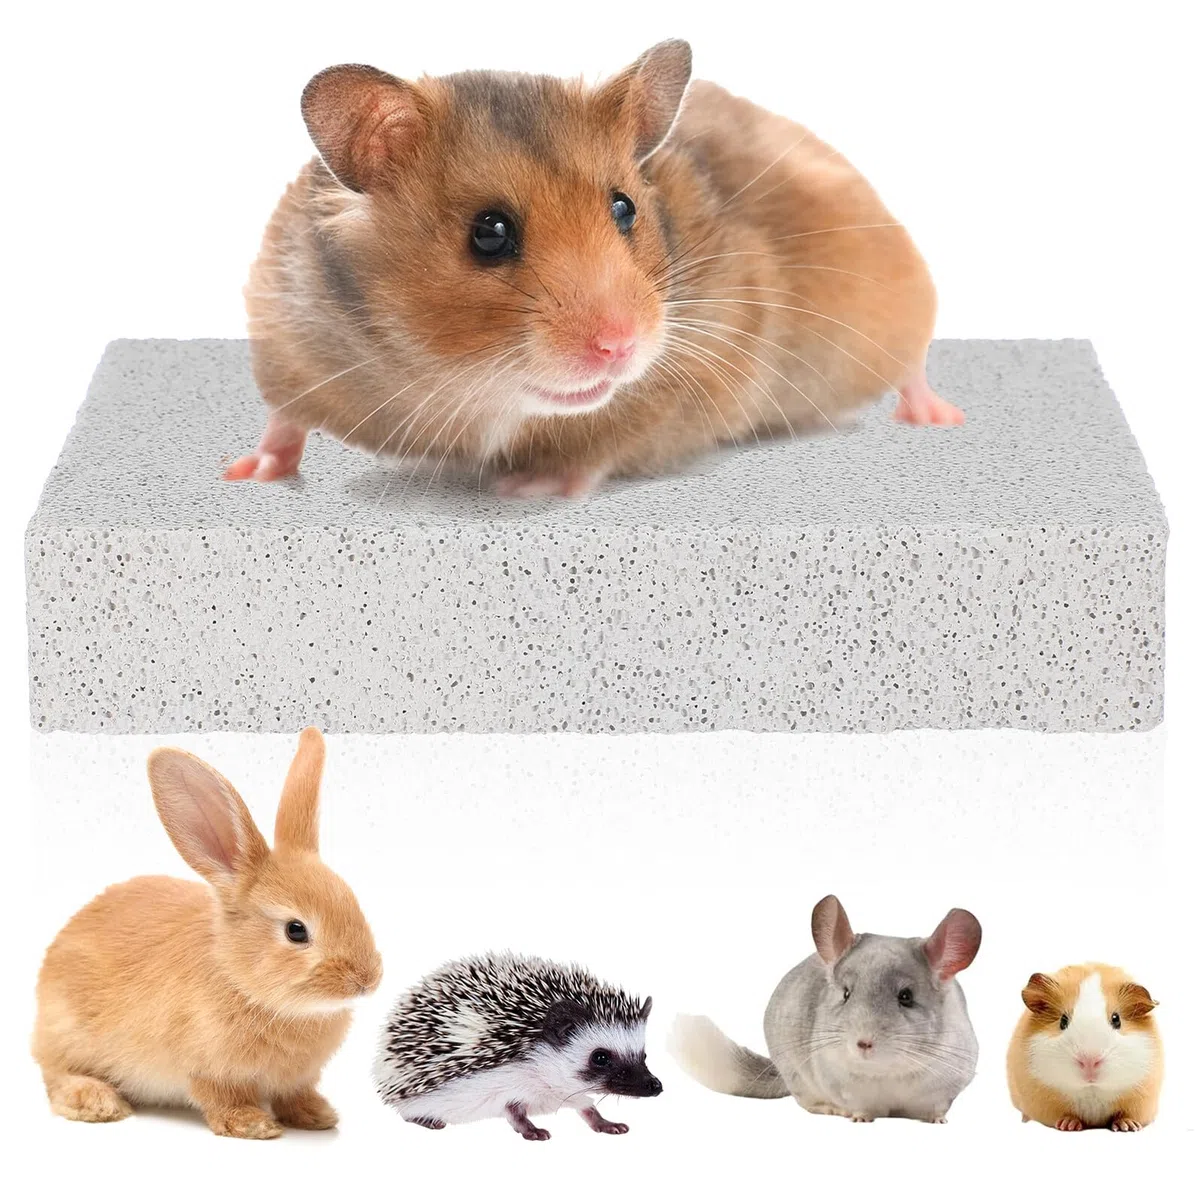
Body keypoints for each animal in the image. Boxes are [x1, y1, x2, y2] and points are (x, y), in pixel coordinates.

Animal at [229, 39, 961, 496]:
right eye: (488, 233)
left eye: (624, 207)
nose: (620, 346)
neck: (463, 384)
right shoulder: (287, 336)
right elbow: (283, 419)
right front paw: (244, 472)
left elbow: (600, 443)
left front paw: (529, 487)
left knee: (913, 363)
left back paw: (937, 417)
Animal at [670, 895, 982, 1122]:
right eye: (846, 994)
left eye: (906, 996)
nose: (863, 1043)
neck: (886, 1072)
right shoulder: (841, 1084)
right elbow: (859, 1107)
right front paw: (859, 1118)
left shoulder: (945, 1088)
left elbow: (936, 1109)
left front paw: (939, 1121)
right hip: (796, 1075)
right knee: (806, 1102)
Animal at [1006, 963, 1162, 1132]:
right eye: (1063, 1021)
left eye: (1116, 1020)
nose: (1089, 1061)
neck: (1091, 1090)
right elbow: (1064, 1115)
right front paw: (1068, 1125)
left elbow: (1126, 1115)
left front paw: (1128, 1126)